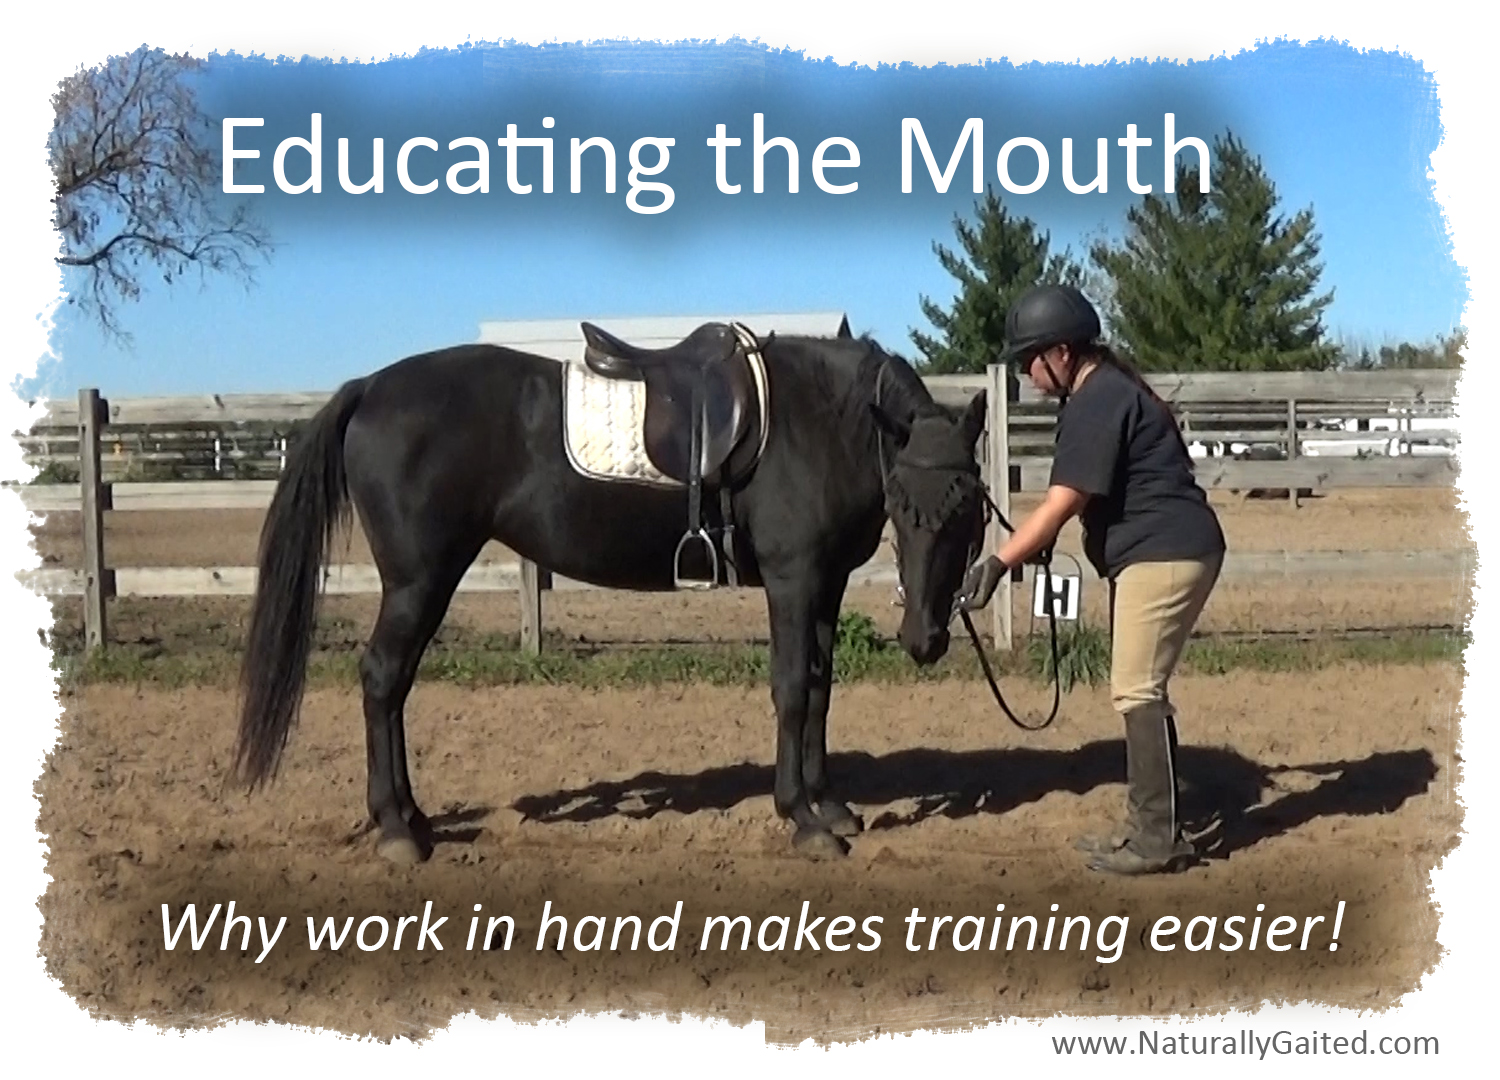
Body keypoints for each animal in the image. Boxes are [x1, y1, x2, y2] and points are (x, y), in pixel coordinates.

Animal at [233, 321, 990, 862]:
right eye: (905, 505)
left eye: (969, 512)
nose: (926, 640)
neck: (819, 422)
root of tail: (370, 387)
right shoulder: (793, 579)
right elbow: (791, 692)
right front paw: (802, 820)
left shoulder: (826, 583)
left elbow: (822, 689)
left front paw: (830, 805)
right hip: (419, 580)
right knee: (383, 679)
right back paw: (397, 829)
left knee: (393, 686)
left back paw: (411, 818)